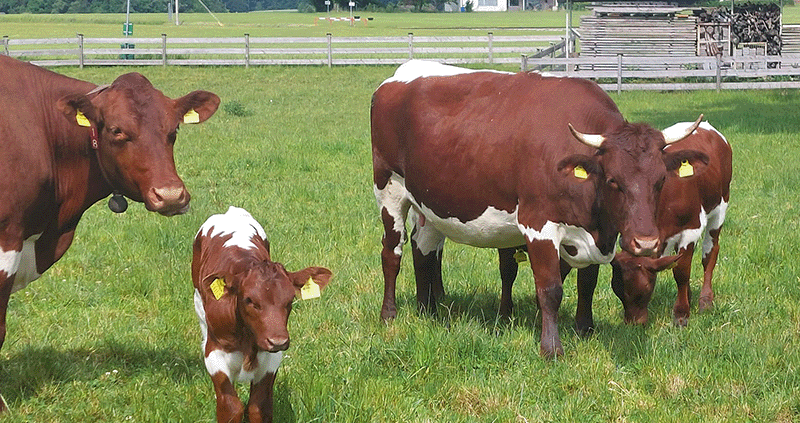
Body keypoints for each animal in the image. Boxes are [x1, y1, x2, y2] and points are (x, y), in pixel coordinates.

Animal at [192, 206, 332, 423]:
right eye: (249, 300)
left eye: (290, 299)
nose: (278, 341)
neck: (247, 340)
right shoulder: (215, 352)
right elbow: (230, 407)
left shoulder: (271, 358)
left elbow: (259, 407)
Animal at [371, 59, 708, 357]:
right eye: (614, 180)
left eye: (661, 180)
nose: (645, 243)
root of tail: (398, 76)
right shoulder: (539, 224)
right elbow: (550, 290)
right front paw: (551, 349)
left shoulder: (593, 231)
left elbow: (587, 283)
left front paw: (585, 329)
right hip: (389, 189)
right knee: (392, 252)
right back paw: (389, 314)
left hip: (428, 204)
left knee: (423, 250)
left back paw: (428, 309)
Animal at [610, 121, 731, 326]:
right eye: (616, 289)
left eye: (645, 290)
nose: (633, 324)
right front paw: (685, 302)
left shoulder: (691, 228)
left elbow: (681, 271)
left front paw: (681, 315)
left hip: (720, 207)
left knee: (710, 253)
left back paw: (705, 300)